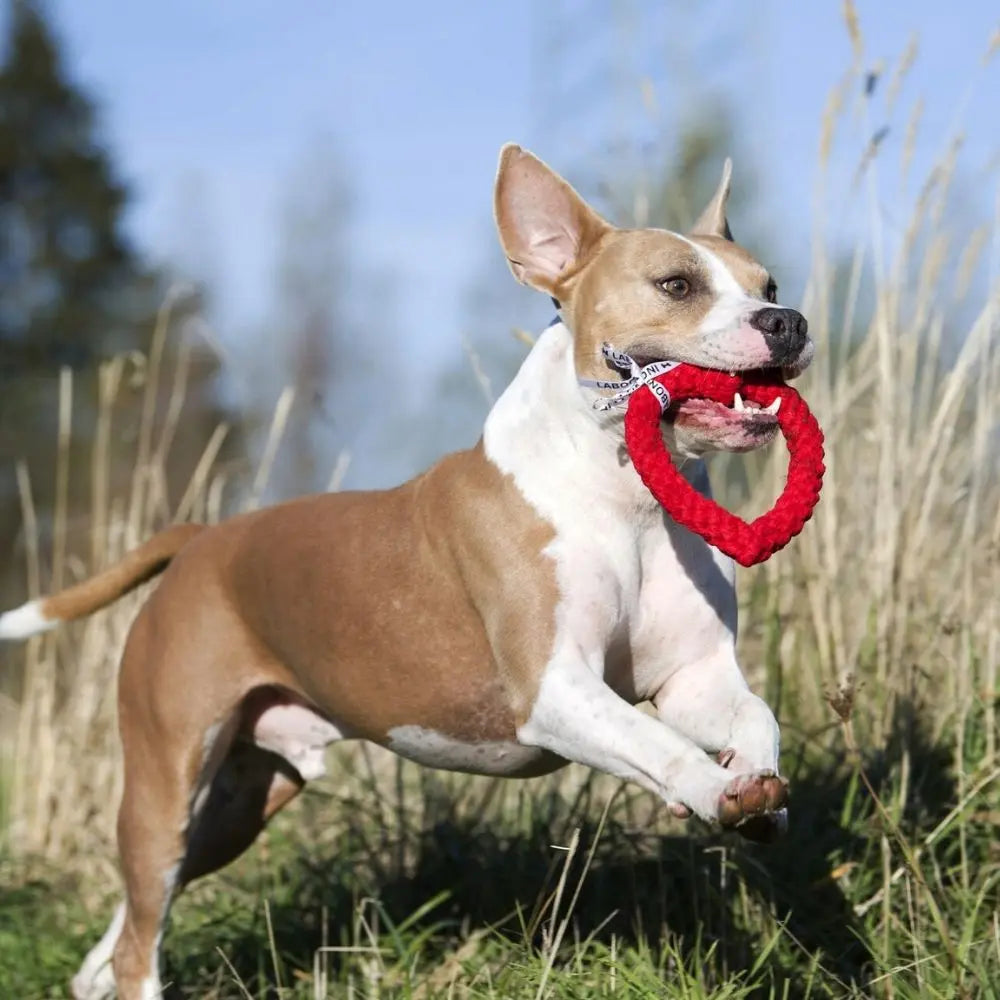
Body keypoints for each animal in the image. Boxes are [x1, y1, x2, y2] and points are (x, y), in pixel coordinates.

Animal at [0, 143, 812, 1000]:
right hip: (167, 777)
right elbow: (654, 745)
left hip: (233, 805)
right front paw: (712, 789)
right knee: (139, 935)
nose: (787, 322)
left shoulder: (694, 679)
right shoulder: (556, 690)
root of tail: (203, 540)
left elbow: (755, 717)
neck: (627, 498)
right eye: (676, 285)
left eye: (768, 286)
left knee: (130, 924)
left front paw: (758, 788)